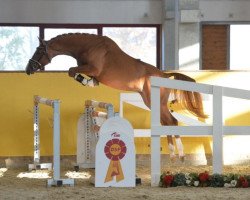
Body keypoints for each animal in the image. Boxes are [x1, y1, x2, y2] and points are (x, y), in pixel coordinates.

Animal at [25, 32, 207, 161]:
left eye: (39, 50)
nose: (28, 69)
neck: (87, 46)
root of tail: (164, 75)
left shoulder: (92, 68)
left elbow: (71, 70)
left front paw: (86, 81)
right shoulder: (90, 70)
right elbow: (77, 74)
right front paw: (90, 82)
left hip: (154, 101)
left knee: (172, 121)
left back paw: (180, 155)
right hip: (152, 101)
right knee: (166, 122)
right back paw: (173, 155)